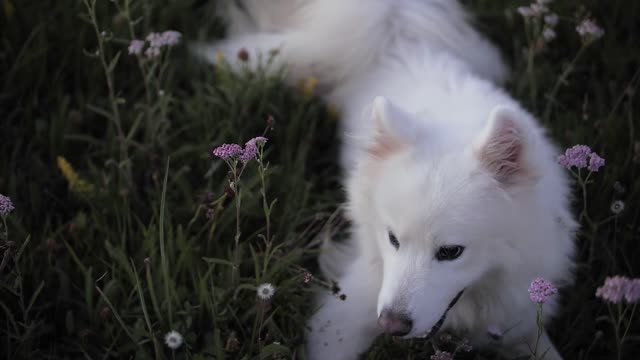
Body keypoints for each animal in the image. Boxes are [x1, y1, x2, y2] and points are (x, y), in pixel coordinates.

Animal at [201, 1, 580, 358]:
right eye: (393, 239)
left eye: (451, 252)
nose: (391, 325)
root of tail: (397, 36)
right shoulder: (340, 317)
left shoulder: (521, 318)